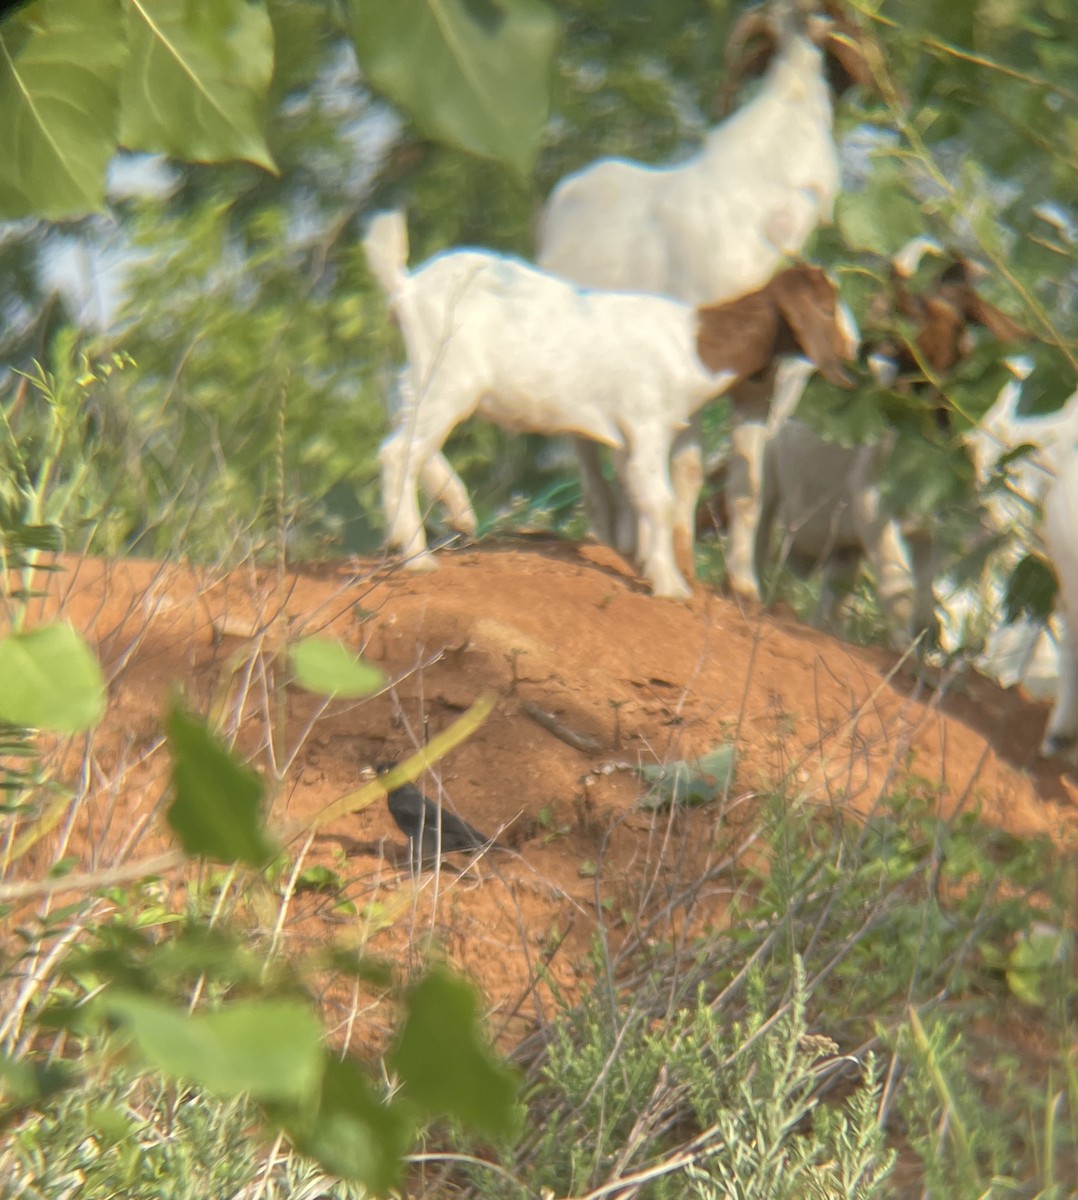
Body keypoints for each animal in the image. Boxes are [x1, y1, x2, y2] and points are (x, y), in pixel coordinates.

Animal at [364, 210, 854, 600]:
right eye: (827, 306)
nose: (853, 348)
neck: (694, 345)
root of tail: (406, 286)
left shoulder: (623, 439)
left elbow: (636, 497)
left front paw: (646, 565)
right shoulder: (647, 424)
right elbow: (659, 499)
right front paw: (671, 587)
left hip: (424, 378)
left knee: (406, 434)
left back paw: (458, 508)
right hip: (451, 380)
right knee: (399, 452)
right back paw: (416, 555)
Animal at [535, 0, 864, 571]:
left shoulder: (759, 381)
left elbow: (746, 484)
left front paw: (740, 583)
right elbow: (685, 473)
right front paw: (682, 568)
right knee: (592, 462)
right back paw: (611, 541)